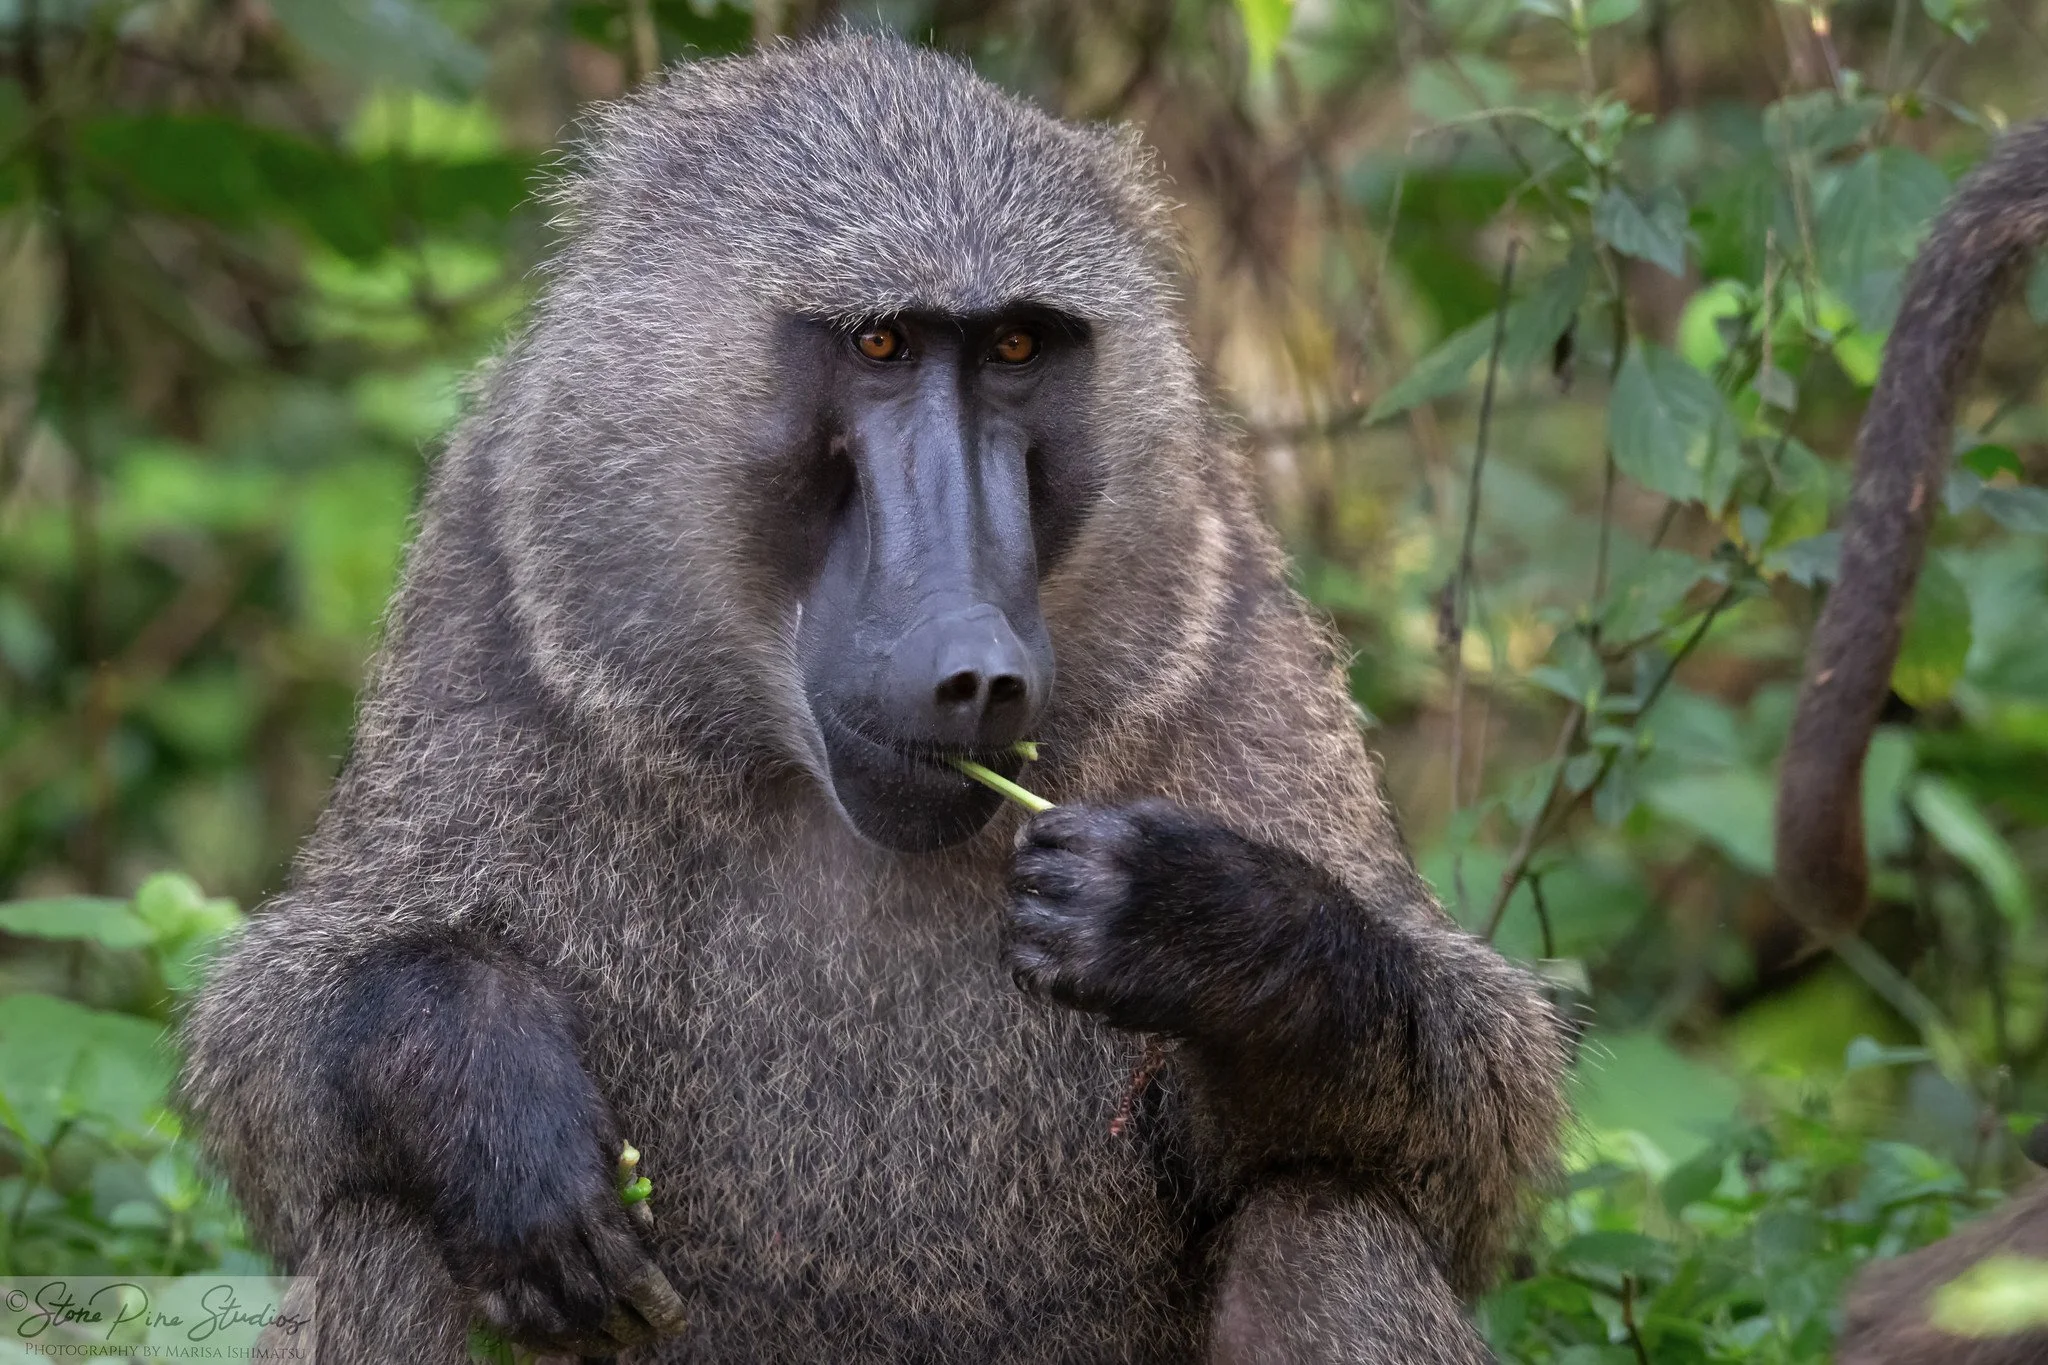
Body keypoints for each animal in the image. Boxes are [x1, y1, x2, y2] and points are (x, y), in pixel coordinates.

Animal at [178, 35, 1568, 1364]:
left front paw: (1206, 925)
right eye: (880, 344)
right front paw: (493, 1102)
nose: (978, 671)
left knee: (1320, 1226)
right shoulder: (494, 584)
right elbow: (270, 1064)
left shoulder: (1221, 617)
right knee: (388, 1231)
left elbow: (1473, 1131)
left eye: (1016, 346)